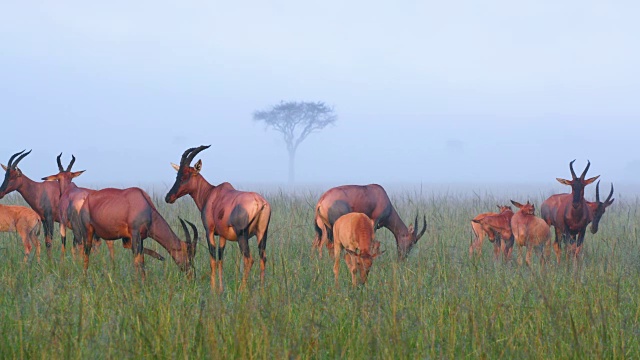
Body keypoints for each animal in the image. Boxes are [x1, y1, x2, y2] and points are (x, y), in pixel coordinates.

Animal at [164, 145, 272, 292]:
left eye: (185, 175)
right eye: (177, 174)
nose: (168, 197)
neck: (212, 194)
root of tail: (260, 202)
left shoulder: (209, 231)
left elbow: (212, 259)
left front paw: (213, 289)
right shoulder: (222, 235)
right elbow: (221, 259)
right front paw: (220, 289)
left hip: (242, 236)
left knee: (249, 259)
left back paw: (242, 290)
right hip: (262, 234)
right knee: (263, 258)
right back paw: (261, 290)